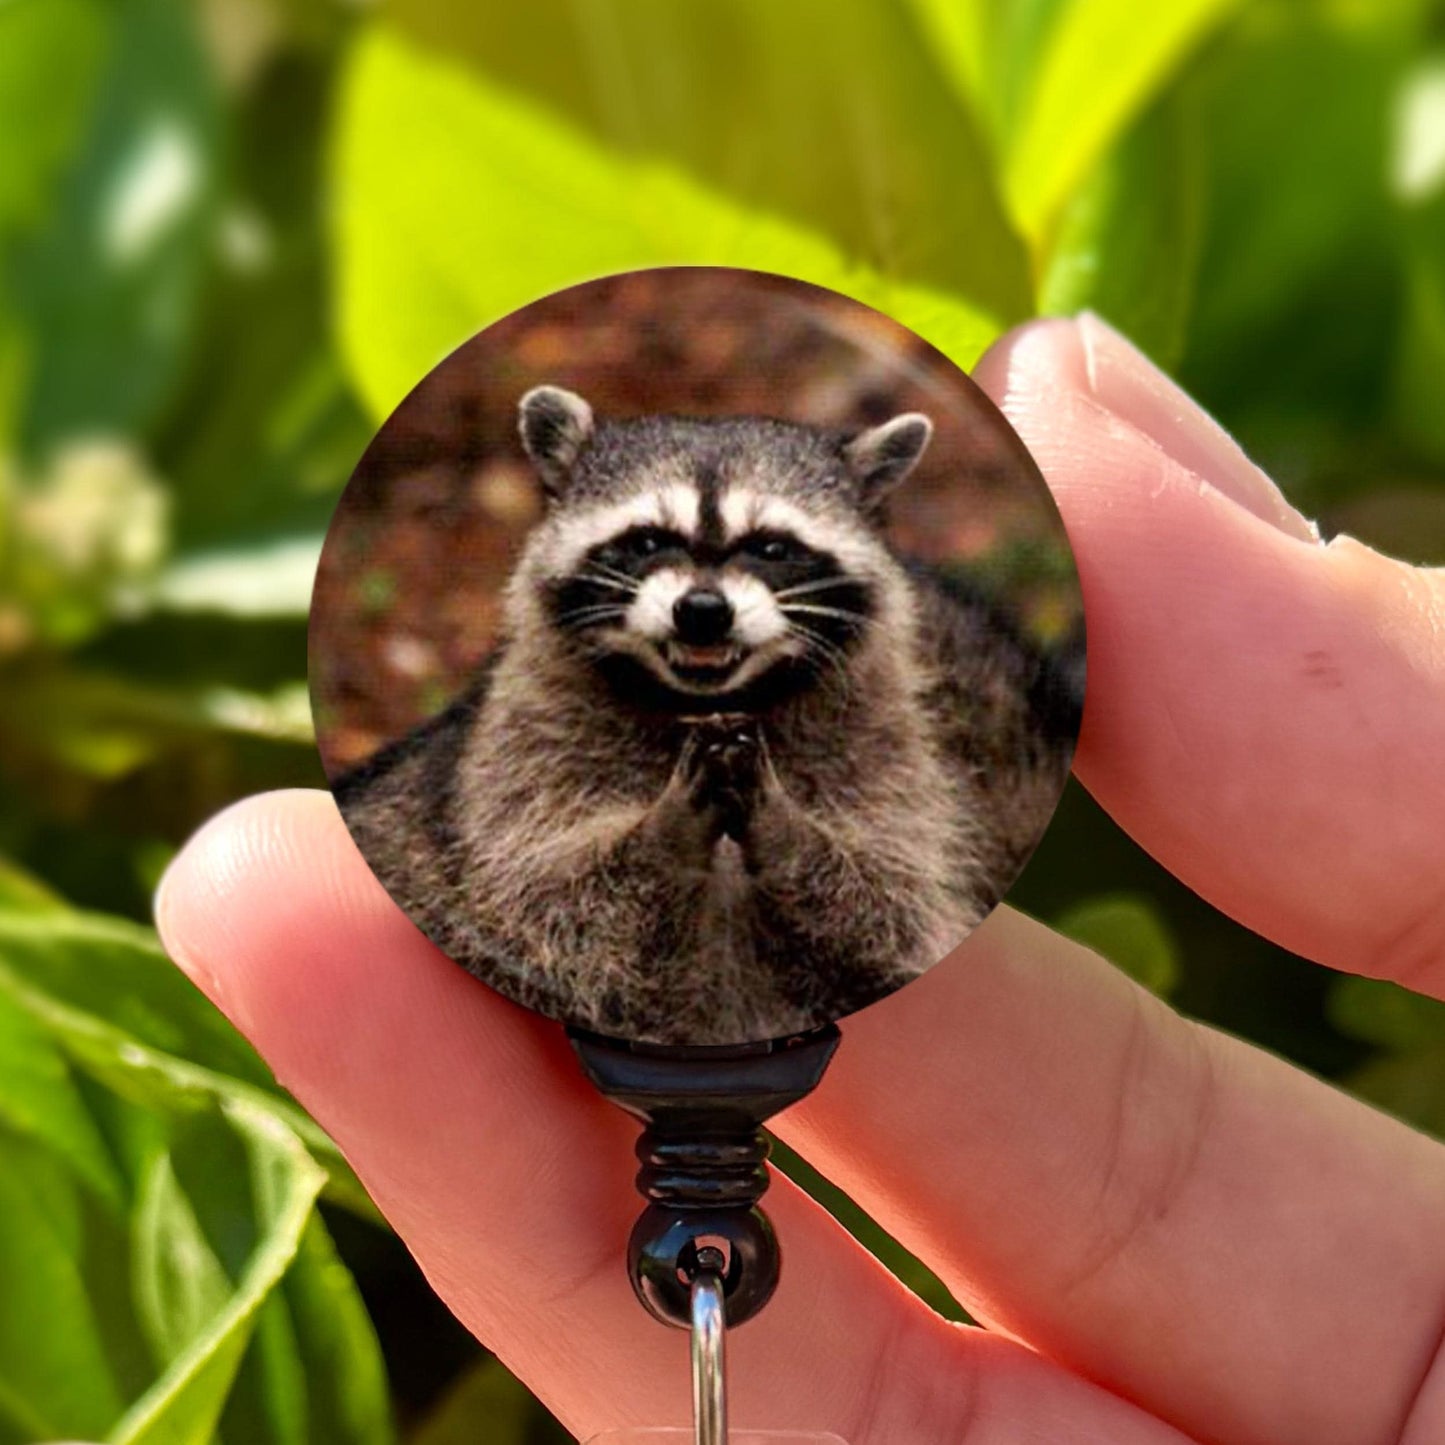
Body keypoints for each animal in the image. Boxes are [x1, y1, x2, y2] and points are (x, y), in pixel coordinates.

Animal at [332, 386, 1080, 1045]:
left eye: (771, 547)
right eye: (645, 540)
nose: (701, 610)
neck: (701, 701)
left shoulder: (885, 748)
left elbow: (892, 904)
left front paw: (784, 824)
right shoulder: (519, 756)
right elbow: (546, 905)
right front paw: (663, 831)